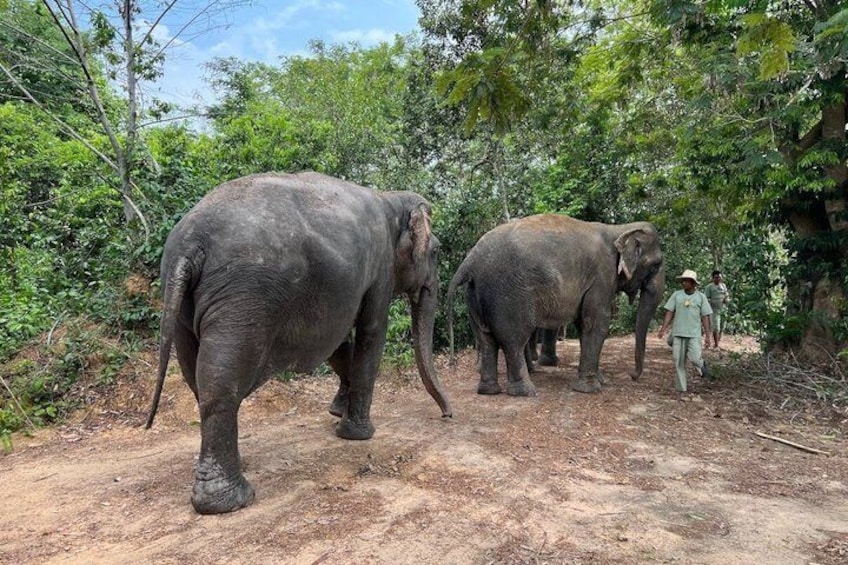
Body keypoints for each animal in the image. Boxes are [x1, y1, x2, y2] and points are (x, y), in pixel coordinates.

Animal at [145, 172, 452, 514]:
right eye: (437, 251)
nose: (447, 415)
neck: (391, 198)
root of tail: (189, 243)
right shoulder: (381, 268)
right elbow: (371, 333)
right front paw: (359, 435)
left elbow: (340, 343)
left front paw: (337, 412)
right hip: (243, 298)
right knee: (221, 382)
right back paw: (230, 501)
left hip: (186, 304)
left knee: (196, 376)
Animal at [447, 214, 665, 395]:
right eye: (656, 265)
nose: (632, 376)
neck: (619, 229)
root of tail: (470, 260)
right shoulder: (602, 277)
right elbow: (597, 324)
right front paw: (591, 389)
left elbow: (583, 324)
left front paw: (601, 381)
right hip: (508, 296)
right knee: (514, 340)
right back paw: (526, 392)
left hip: (474, 294)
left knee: (486, 339)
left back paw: (489, 391)